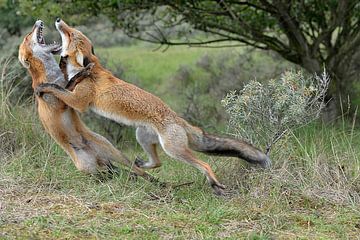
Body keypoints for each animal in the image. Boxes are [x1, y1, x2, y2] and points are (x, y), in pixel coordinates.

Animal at [36, 18, 272, 195]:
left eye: (70, 34)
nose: (58, 20)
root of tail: (179, 119)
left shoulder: (80, 103)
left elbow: (59, 89)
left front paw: (45, 87)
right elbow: (66, 84)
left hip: (173, 149)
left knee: (204, 164)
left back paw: (214, 184)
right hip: (142, 136)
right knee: (157, 163)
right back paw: (143, 165)